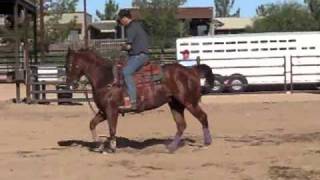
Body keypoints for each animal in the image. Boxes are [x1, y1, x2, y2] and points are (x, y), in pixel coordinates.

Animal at [65, 48, 215, 153]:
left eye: (72, 64)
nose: (70, 84)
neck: (106, 79)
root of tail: (192, 70)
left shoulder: (111, 110)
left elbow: (112, 129)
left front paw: (112, 147)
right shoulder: (103, 111)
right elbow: (92, 124)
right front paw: (99, 145)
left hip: (189, 102)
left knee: (203, 117)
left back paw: (207, 143)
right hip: (175, 104)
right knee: (181, 125)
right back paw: (171, 147)